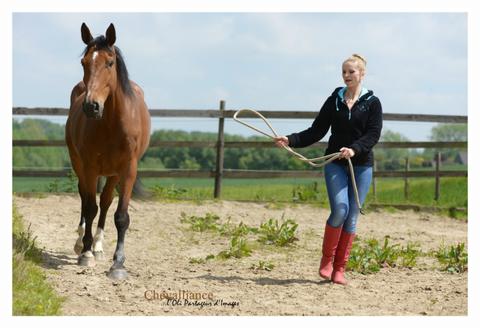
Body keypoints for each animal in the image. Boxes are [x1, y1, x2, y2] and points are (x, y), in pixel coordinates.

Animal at [66, 23, 150, 280]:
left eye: (110, 63)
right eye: (83, 62)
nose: (91, 106)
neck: (112, 123)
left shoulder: (128, 170)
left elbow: (120, 216)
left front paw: (118, 264)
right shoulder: (90, 167)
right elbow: (89, 207)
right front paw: (85, 254)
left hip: (112, 174)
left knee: (105, 201)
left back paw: (99, 247)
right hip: (80, 165)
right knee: (86, 199)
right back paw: (82, 242)